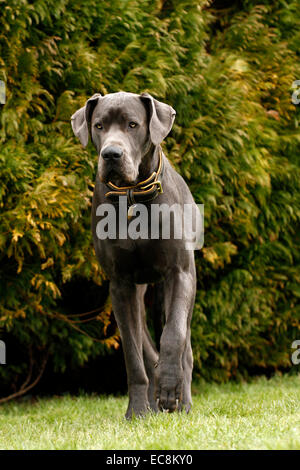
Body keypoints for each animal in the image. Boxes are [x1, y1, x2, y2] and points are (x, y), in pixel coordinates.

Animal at [69, 92, 197, 418]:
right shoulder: (121, 285)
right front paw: (137, 410)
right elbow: (132, 355)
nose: (111, 154)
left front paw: (170, 388)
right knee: (146, 349)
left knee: (185, 349)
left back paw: (183, 402)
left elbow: (173, 335)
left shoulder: (180, 272)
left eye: (132, 124)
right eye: (99, 125)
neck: (133, 196)